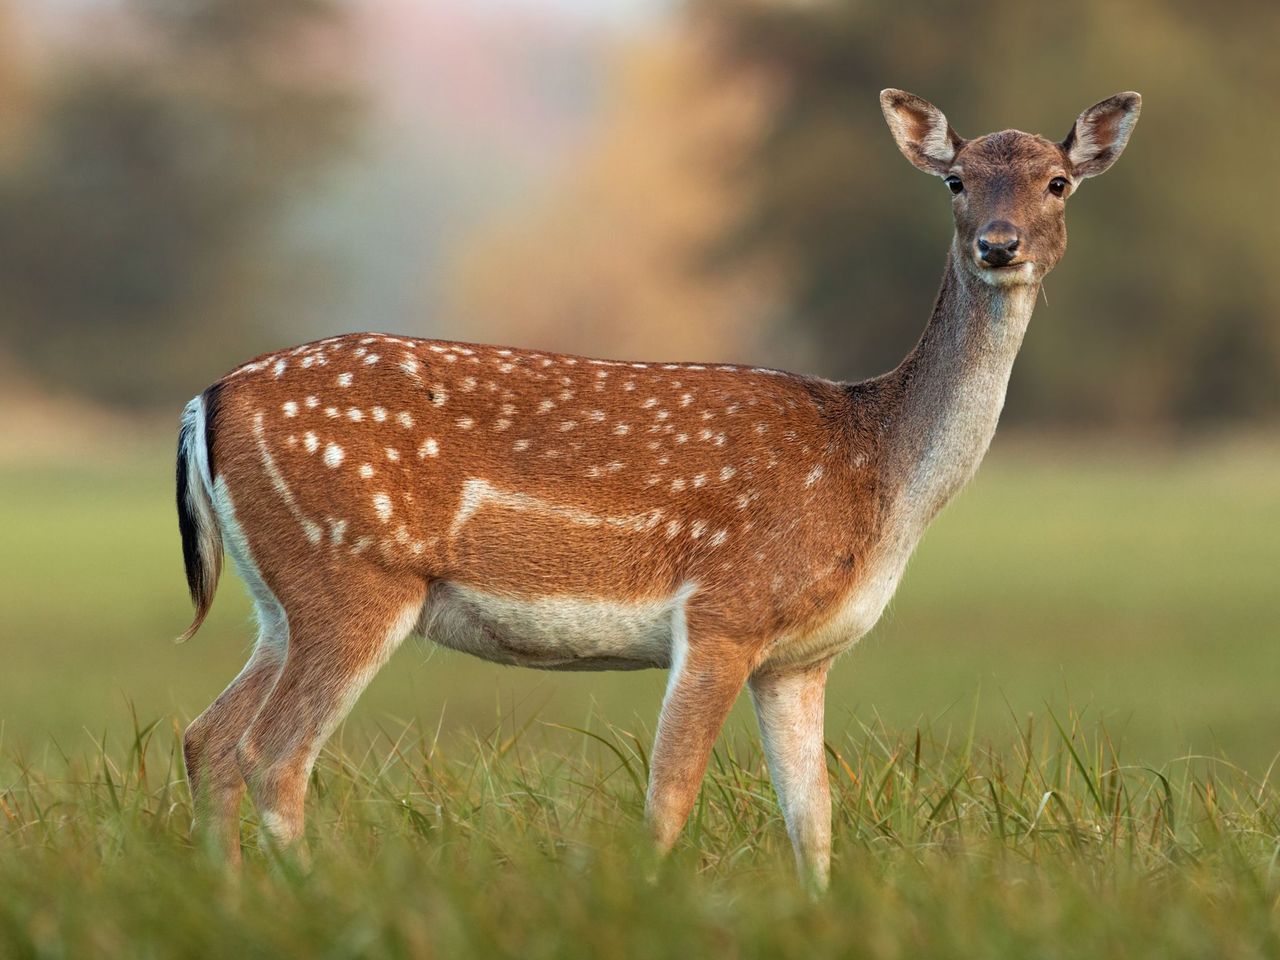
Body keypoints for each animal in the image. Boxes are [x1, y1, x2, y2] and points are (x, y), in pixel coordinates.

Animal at [175, 89, 1140, 888]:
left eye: (1057, 183)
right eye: (955, 180)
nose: (998, 244)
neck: (880, 474)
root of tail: (205, 401)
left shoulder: (802, 658)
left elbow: (814, 819)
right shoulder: (724, 610)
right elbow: (669, 799)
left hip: (282, 600)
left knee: (207, 738)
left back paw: (228, 896)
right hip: (355, 575)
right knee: (273, 755)